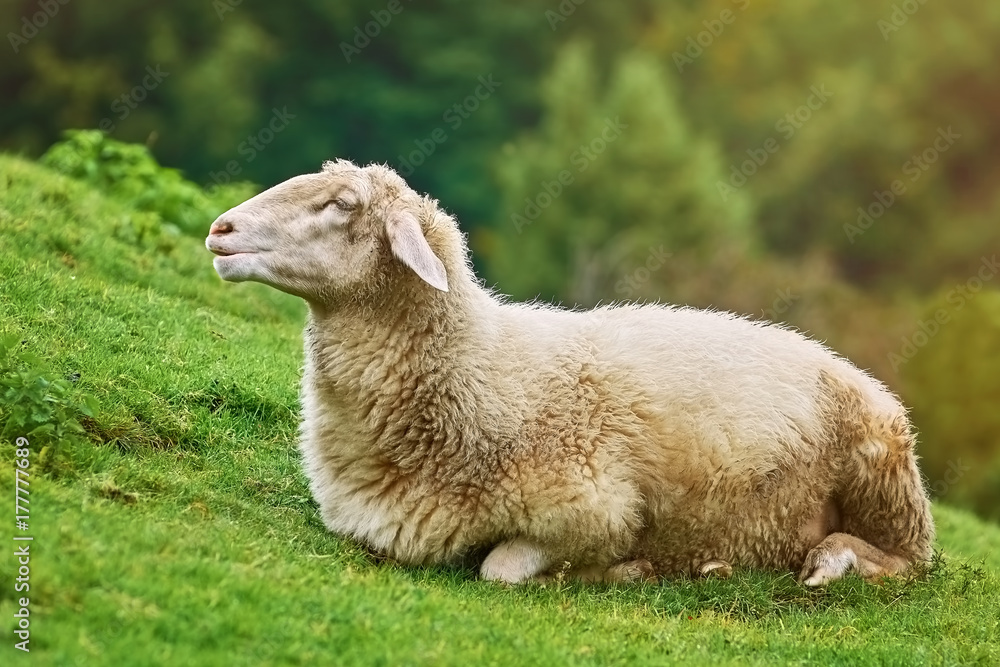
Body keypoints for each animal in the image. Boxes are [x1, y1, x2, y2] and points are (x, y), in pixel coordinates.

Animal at [204, 159, 934, 586]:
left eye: (342, 204)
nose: (220, 229)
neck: (482, 365)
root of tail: (841, 360)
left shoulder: (593, 511)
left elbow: (500, 568)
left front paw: (621, 571)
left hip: (884, 479)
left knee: (907, 563)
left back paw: (826, 563)